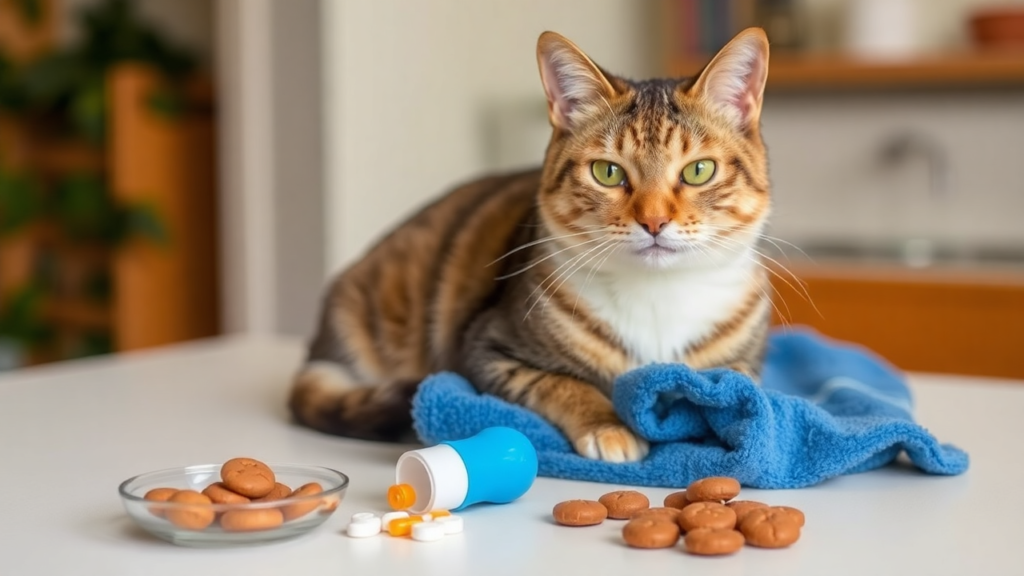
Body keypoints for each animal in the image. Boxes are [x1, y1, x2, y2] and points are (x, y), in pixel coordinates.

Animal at [286, 26, 770, 461]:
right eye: (607, 172)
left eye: (698, 171)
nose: (654, 221)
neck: (657, 296)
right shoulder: (488, 348)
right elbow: (560, 382)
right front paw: (608, 426)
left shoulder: (742, 365)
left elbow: (725, 391)